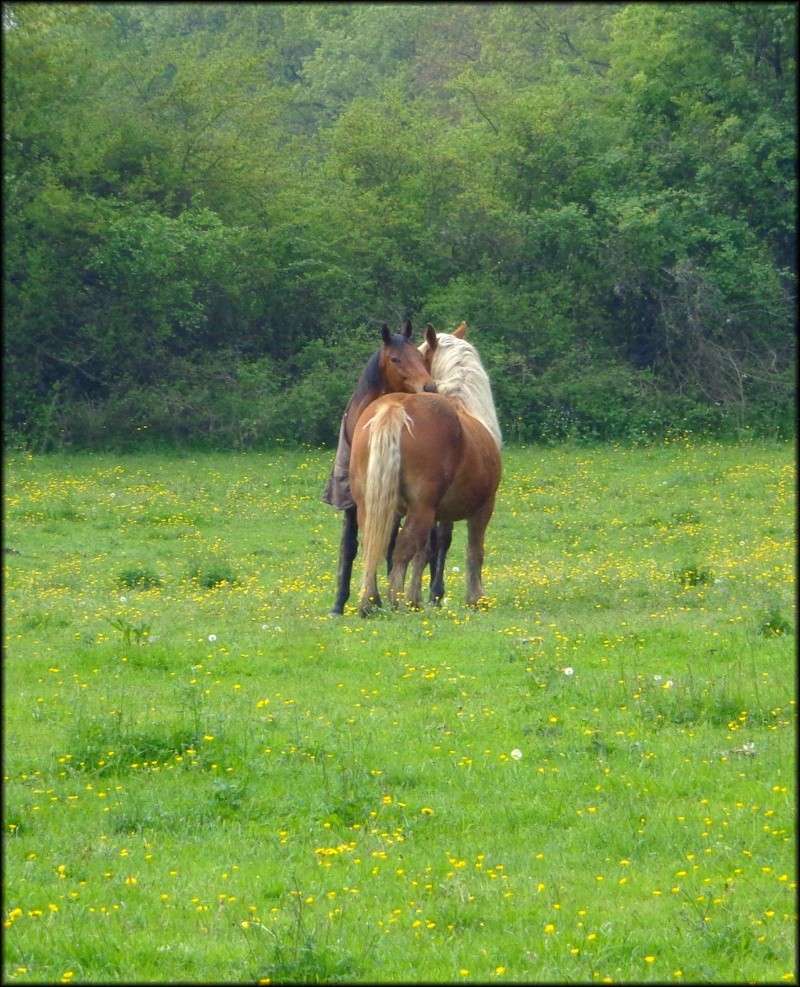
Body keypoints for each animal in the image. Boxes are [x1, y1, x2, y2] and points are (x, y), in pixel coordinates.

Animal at [322, 320, 440, 612]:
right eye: (395, 359)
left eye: (419, 356)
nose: (429, 387)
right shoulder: (353, 499)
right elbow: (351, 545)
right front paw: (340, 603)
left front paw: (379, 598)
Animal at [350, 328, 500, 612]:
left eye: (419, 357)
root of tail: (396, 407)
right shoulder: (483, 508)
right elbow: (474, 551)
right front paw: (475, 598)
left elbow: (425, 553)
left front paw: (416, 598)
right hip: (421, 509)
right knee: (402, 550)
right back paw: (395, 601)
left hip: (371, 505)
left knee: (372, 546)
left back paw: (370, 603)